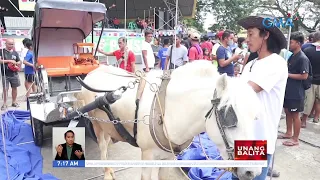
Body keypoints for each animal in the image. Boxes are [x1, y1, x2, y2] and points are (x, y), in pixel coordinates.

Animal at [77, 60, 262, 180]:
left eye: (255, 118)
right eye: (228, 117)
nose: (252, 171)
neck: (169, 111)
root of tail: (94, 71)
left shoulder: (169, 157)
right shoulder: (147, 155)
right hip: (96, 124)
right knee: (102, 146)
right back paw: (107, 171)